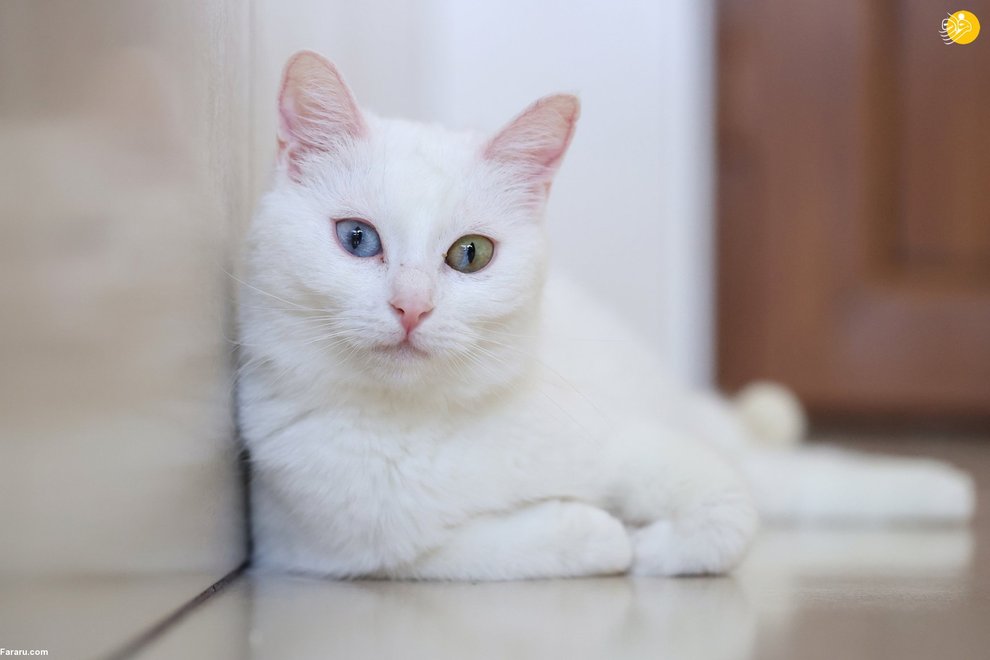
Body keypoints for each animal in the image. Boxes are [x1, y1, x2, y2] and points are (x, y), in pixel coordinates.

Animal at [238, 51, 974, 580]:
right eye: (358, 239)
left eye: (470, 254)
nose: (411, 306)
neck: (420, 425)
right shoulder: (328, 549)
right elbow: (494, 546)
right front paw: (608, 534)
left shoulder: (635, 443)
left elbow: (726, 514)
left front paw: (654, 549)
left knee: (776, 470)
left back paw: (943, 489)